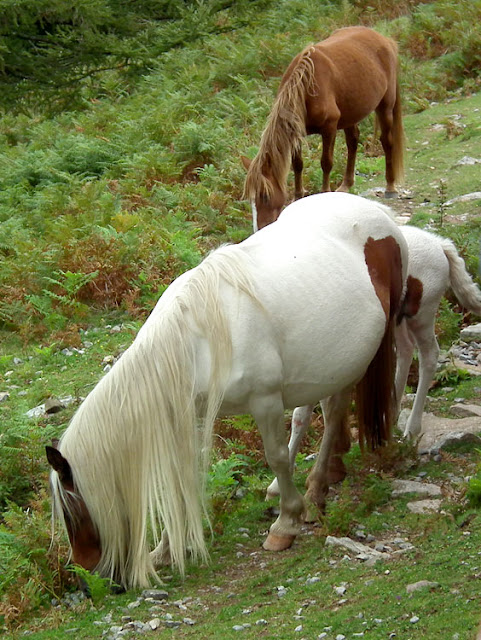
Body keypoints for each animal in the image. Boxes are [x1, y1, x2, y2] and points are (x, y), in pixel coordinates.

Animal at [45, 191, 406, 592]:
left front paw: (286, 524)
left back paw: (314, 492)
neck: (194, 342)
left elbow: (276, 457)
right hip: (325, 364)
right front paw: (165, 550)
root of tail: (378, 212)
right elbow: (182, 480)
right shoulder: (192, 415)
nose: (84, 578)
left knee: (334, 413)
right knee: (313, 410)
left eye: (72, 515)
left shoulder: (265, 402)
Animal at [242, 28, 404, 232]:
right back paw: (345, 185)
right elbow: (298, 164)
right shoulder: (297, 134)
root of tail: (384, 39)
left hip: (385, 106)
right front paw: (298, 195)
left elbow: (326, 163)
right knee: (353, 141)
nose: (259, 229)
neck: (305, 88)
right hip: (351, 113)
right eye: (250, 200)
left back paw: (390, 187)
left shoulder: (329, 128)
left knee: (387, 142)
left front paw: (324, 193)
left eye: (264, 195)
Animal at [264, 225, 480, 500]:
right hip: (397, 319)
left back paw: (411, 429)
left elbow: (304, 415)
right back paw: (391, 414)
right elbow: (313, 412)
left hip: (422, 313)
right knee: (405, 350)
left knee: (429, 355)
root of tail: (439, 243)